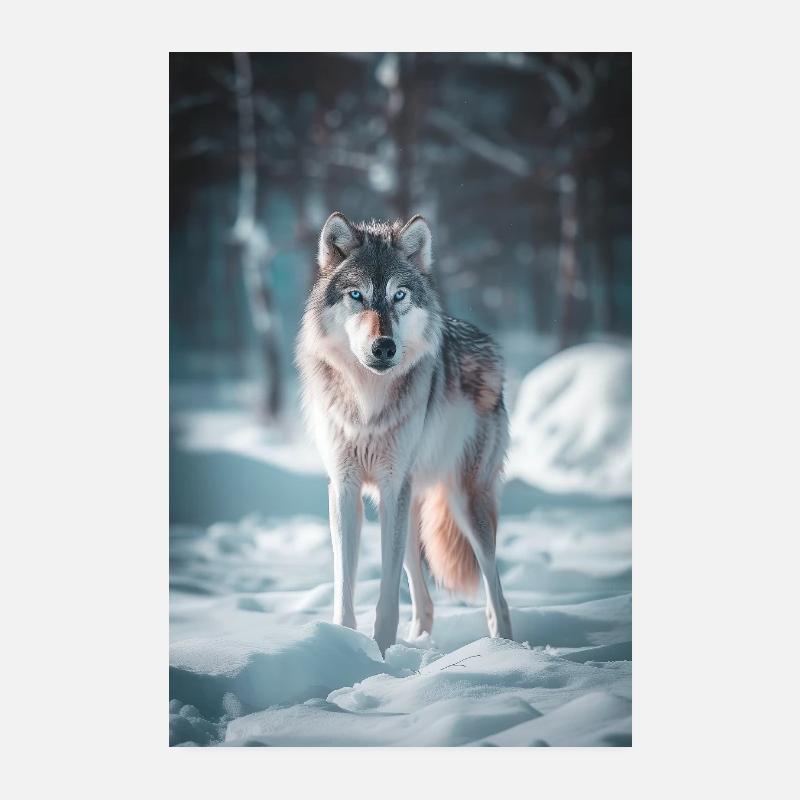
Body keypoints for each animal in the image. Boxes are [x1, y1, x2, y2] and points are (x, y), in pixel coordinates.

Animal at [296, 212, 513, 655]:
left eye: (398, 296)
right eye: (357, 295)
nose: (384, 347)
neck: (366, 404)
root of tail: (491, 345)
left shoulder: (392, 486)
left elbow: (386, 595)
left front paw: (379, 654)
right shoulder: (344, 487)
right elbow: (344, 589)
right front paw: (350, 649)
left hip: (464, 502)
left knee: (496, 596)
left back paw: (505, 650)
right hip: (408, 509)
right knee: (425, 600)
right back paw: (420, 643)